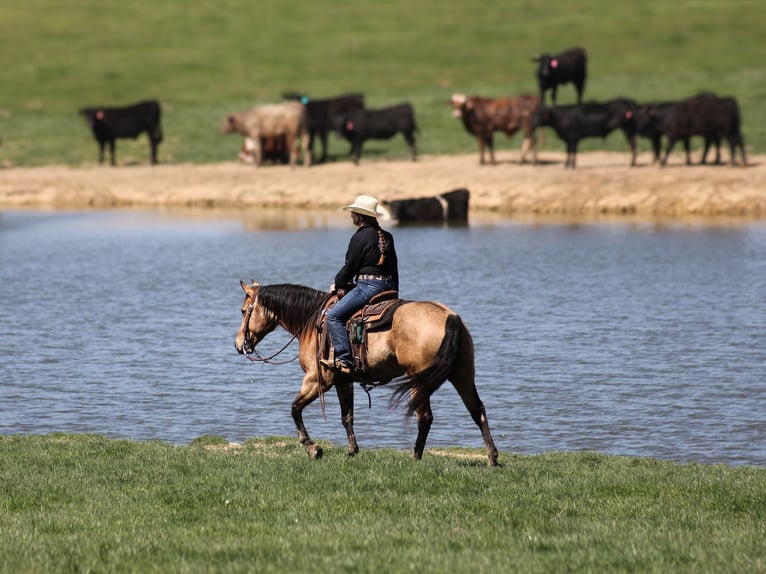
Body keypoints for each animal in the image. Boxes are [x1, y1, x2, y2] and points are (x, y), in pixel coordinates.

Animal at [234, 280, 499, 467]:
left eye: (244, 310)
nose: (238, 345)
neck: (312, 321)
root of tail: (450, 317)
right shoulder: (342, 381)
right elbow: (347, 417)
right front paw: (352, 451)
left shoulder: (317, 379)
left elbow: (294, 409)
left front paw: (312, 448)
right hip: (462, 375)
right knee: (477, 411)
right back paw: (492, 458)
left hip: (419, 379)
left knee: (424, 417)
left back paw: (415, 456)